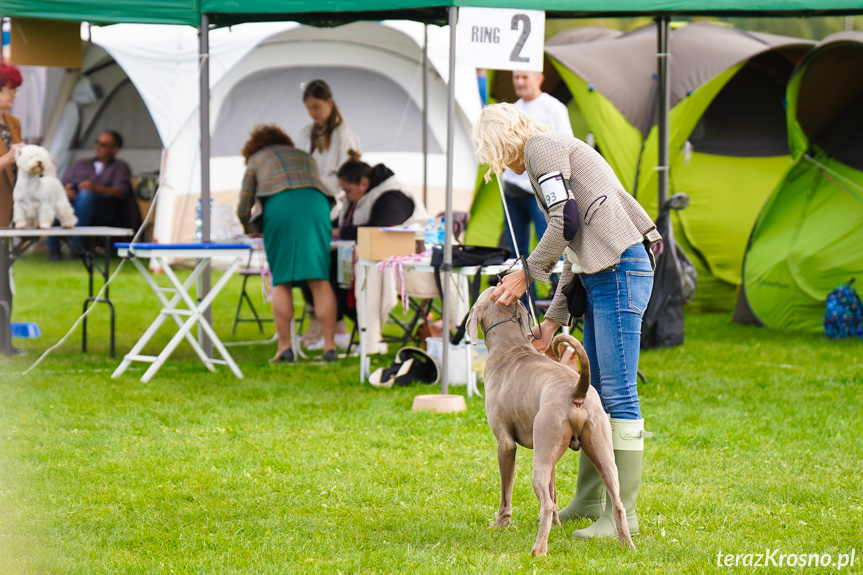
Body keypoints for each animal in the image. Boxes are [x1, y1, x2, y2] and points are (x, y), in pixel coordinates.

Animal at [466, 288, 636, 560]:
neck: (510, 346)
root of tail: (577, 391)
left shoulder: (505, 443)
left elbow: (506, 492)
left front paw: (500, 524)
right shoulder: (550, 453)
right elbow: (555, 492)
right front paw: (557, 525)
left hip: (541, 456)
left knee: (544, 503)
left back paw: (538, 550)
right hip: (598, 448)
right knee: (617, 501)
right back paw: (627, 545)